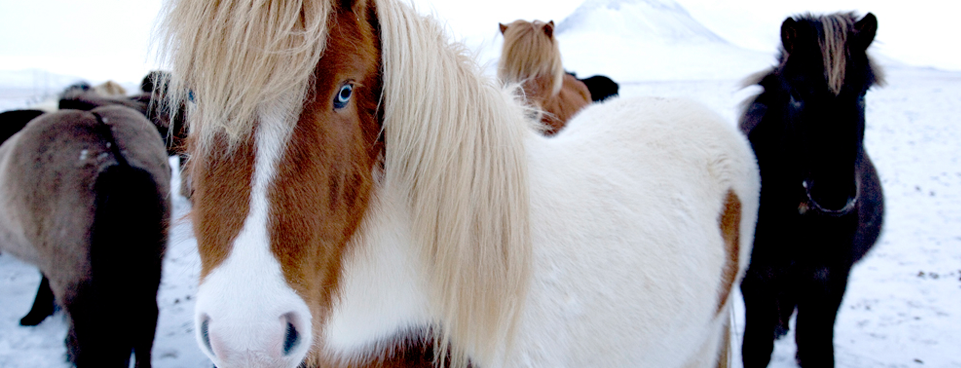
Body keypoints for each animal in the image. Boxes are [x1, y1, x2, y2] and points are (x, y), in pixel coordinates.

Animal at [736, 11, 884, 368]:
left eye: (862, 93)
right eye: (796, 94)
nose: (833, 194)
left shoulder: (827, 282)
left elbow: (816, 349)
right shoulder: (757, 279)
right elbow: (756, 347)